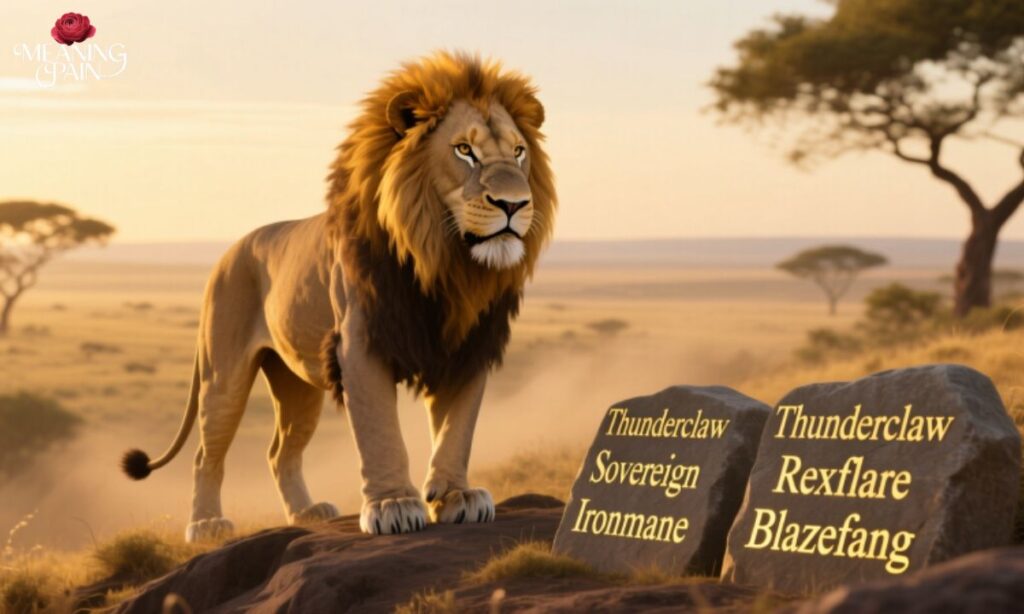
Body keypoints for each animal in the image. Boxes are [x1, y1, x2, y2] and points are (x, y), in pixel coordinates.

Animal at [120, 51, 556, 542]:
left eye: (518, 152)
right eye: (465, 150)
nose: (514, 205)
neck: (445, 265)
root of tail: (227, 253)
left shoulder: (468, 344)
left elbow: (457, 429)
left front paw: (457, 496)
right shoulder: (360, 344)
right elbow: (380, 431)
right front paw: (393, 505)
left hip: (296, 383)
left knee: (280, 452)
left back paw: (307, 513)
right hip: (223, 373)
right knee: (205, 453)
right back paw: (207, 524)